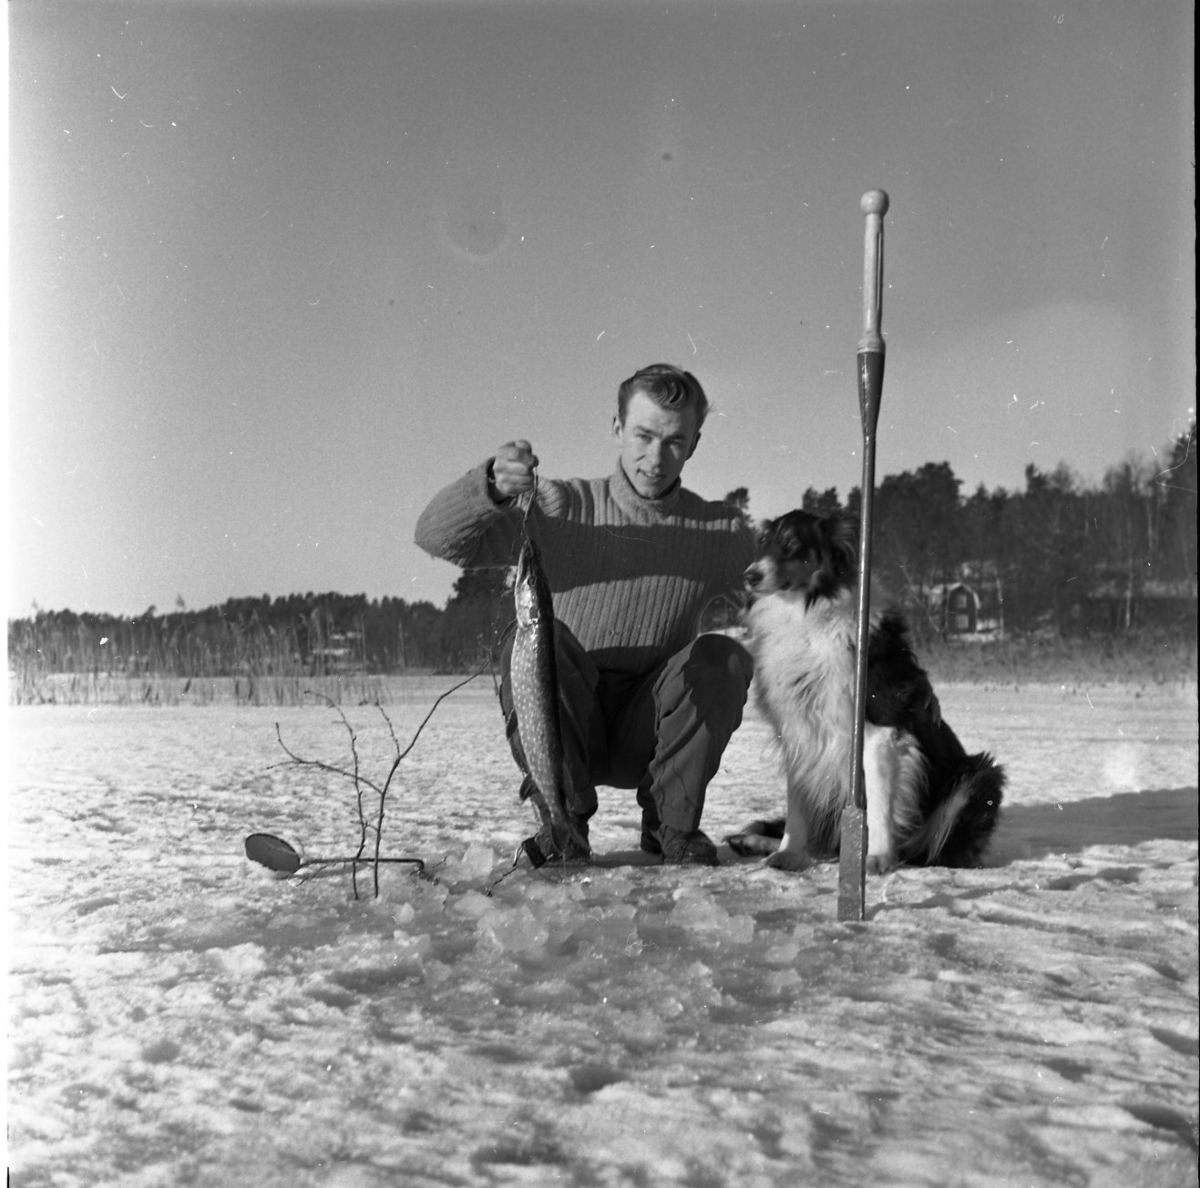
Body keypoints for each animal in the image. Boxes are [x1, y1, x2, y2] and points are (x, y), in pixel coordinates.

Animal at [729, 508, 1003, 873]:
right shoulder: (800, 733)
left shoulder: (880, 731)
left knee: (931, 849)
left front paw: (877, 857)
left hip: (980, 775)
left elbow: (878, 803)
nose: (749, 577)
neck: (808, 614)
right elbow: (796, 808)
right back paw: (751, 841)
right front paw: (788, 854)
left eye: (791, 544)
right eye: (764, 542)